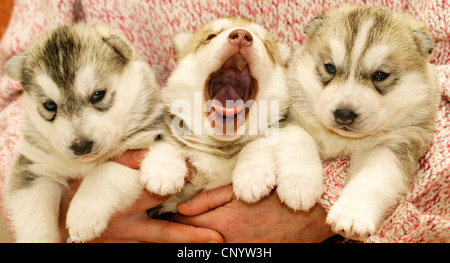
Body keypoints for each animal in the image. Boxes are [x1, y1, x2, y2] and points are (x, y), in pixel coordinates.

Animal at [142, 16, 324, 216]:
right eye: (210, 36)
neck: (221, 146)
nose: (242, 36)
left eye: (266, 45)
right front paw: (163, 168)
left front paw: (254, 173)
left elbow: (264, 140)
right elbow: (166, 137)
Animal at [288, 5, 440, 241]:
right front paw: (300, 185)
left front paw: (351, 215)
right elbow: (299, 138)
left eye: (380, 75)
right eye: (330, 68)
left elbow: (371, 180)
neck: (344, 139)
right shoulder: (289, 113)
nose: (344, 114)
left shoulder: (395, 144)